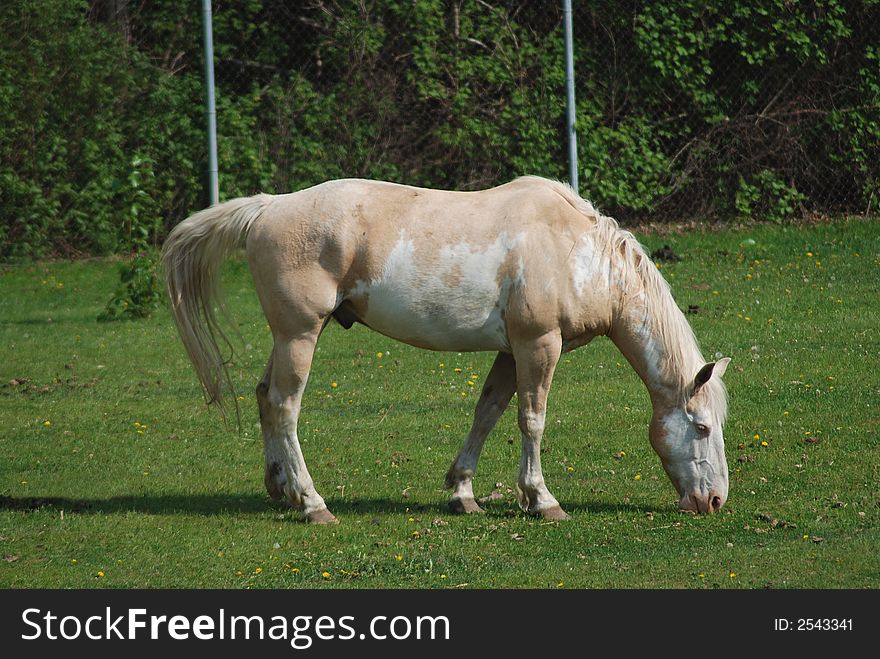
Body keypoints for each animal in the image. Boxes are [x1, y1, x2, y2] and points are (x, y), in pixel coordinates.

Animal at [162, 177, 732, 524]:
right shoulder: (539, 345)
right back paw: (312, 503)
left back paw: (280, 487)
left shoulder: (512, 351)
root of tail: (268, 207)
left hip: (289, 337)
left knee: (264, 396)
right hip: (300, 335)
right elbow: (532, 420)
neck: (580, 254)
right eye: (702, 427)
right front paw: (541, 499)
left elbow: (489, 412)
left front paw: (463, 492)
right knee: (285, 406)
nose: (714, 500)